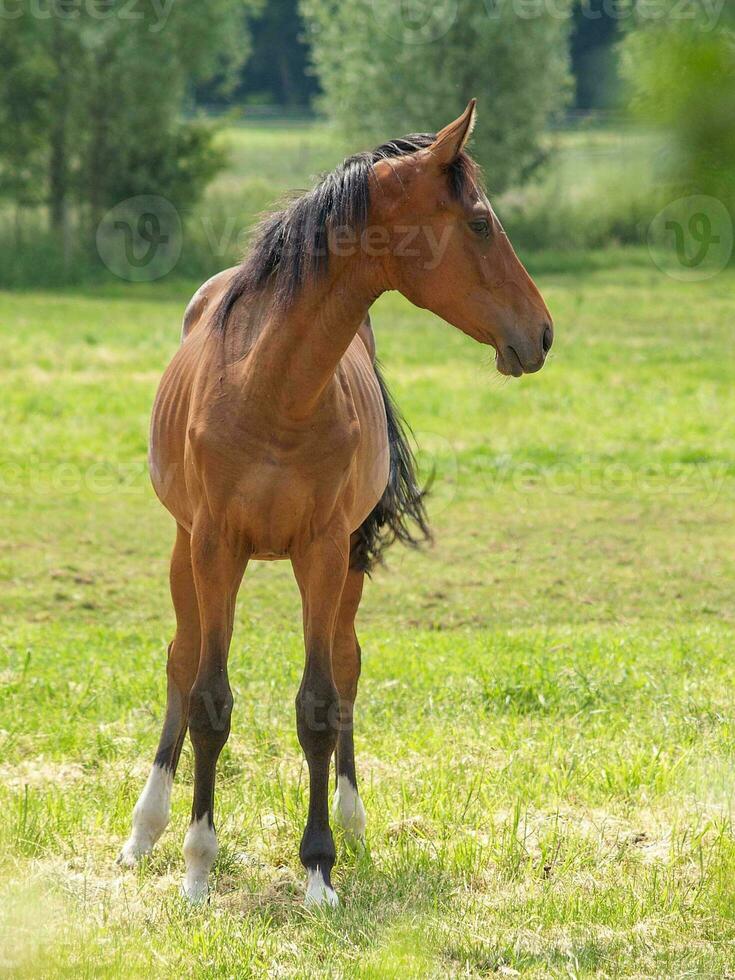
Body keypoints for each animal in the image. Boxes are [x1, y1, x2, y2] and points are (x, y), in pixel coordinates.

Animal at [118, 97, 552, 904]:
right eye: (479, 221)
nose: (540, 334)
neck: (270, 386)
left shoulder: (322, 551)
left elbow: (319, 702)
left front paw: (318, 867)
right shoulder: (214, 545)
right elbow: (208, 699)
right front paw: (198, 867)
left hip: (342, 562)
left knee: (346, 664)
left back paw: (351, 822)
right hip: (186, 550)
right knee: (181, 661)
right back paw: (144, 830)